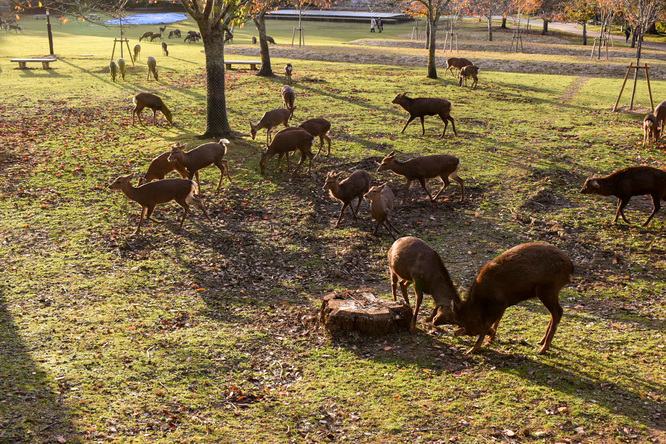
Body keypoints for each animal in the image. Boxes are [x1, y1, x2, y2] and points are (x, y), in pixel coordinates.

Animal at [436, 241, 572, 356]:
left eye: (467, 322)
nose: (466, 331)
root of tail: (570, 268)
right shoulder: (503, 304)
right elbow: (498, 319)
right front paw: (490, 338)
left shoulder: (499, 303)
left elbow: (488, 323)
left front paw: (474, 348)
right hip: (548, 291)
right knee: (554, 313)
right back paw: (542, 341)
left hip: (548, 288)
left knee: (558, 312)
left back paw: (543, 349)